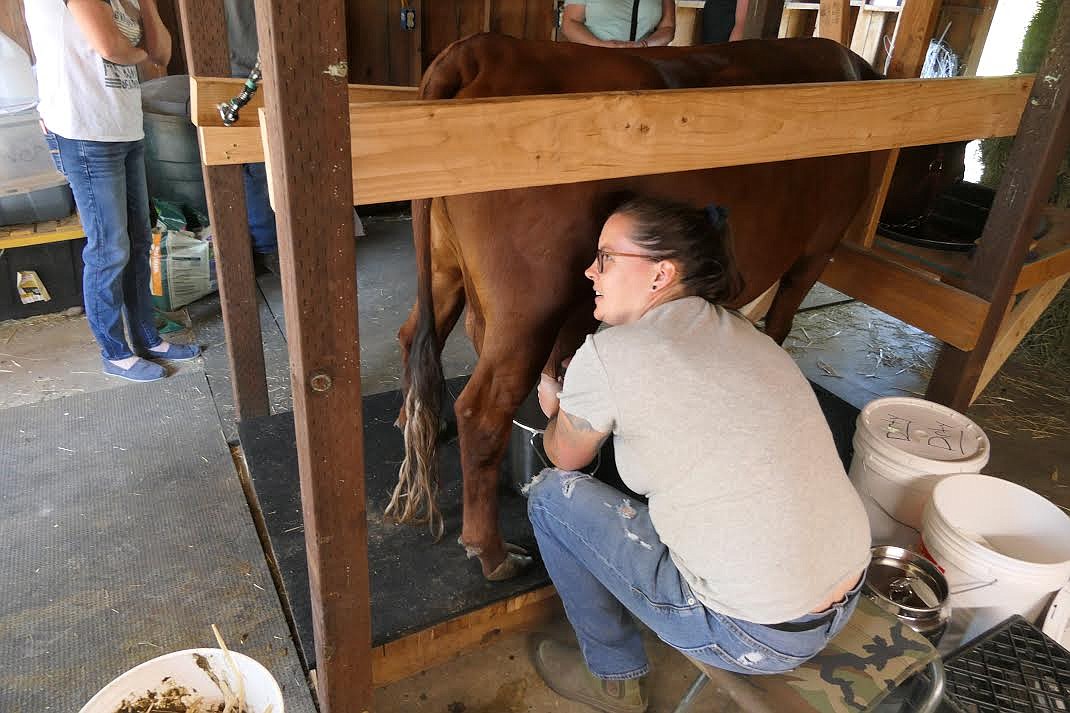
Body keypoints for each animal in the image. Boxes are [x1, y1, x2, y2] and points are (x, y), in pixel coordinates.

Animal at [385, 34, 920, 578]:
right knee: (483, 410)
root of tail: (486, 47)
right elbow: (780, 324)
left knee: (415, 338)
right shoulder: (815, 250)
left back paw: (421, 424)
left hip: (445, 268)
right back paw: (492, 552)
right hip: (528, 307)